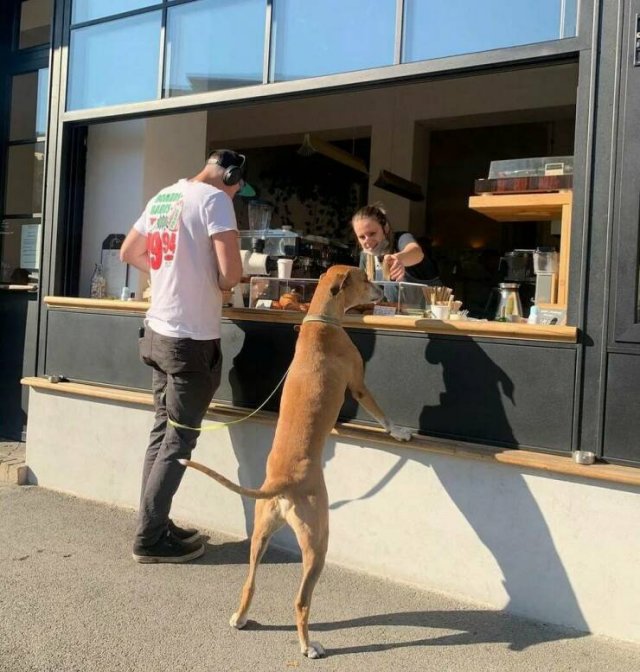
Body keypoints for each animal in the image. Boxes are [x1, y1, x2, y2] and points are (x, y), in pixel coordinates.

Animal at [180, 265, 412, 658]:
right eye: (365, 279)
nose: (383, 291)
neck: (321, 320)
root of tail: (282, 484)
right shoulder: (359, 384)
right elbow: (381, 414)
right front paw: (399, 431)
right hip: (318, 540)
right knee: (301, 601)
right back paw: (309, 645)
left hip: (260, 534)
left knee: (250, 583)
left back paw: (240, 617)